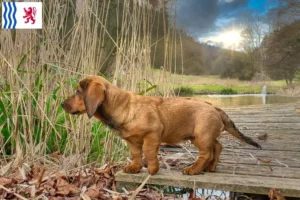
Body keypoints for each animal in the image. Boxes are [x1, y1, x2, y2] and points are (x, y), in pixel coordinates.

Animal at [61, 76, 260, 174]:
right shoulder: (132, 141)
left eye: (78, 92)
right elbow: (136, 154)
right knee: (218, 147)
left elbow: (148, 153)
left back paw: (194, 169)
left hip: (201, 137)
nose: (62, 104)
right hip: (199, 137)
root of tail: (215, 107)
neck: (123, 107)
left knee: (207, 153)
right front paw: (134, 168)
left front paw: (152, 169)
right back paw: (210, 168)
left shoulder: (152, 136)